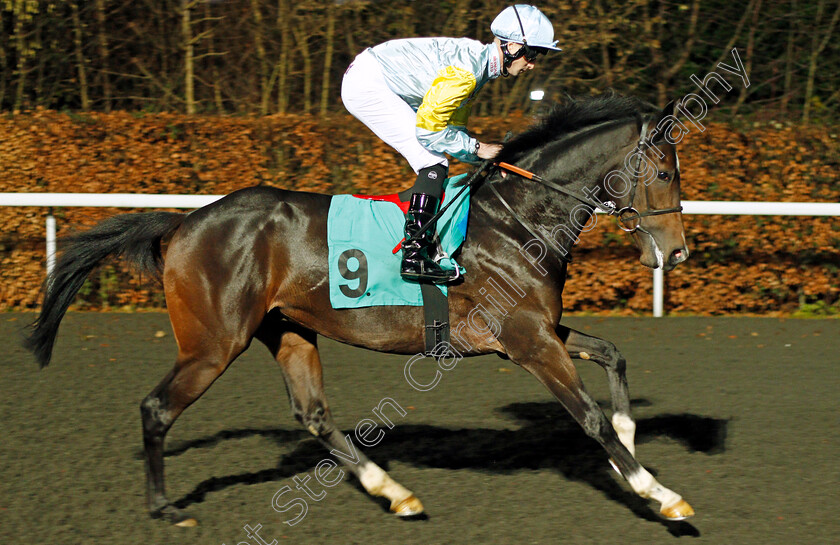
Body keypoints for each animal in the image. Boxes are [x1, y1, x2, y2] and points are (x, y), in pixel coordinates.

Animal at [24, 94, 696, 528]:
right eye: (665, 171)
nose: (677, 252)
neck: (517, 219)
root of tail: (183, 223)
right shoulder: (529, 340)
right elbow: (589, 417)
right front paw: (658, 492)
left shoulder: (536, 331)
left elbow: (613, 354)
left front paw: (633, 443)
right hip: (214, 342)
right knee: (158, 407)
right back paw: (164, 507)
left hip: (288, 330)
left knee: (314, 415)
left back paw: (393, 491)